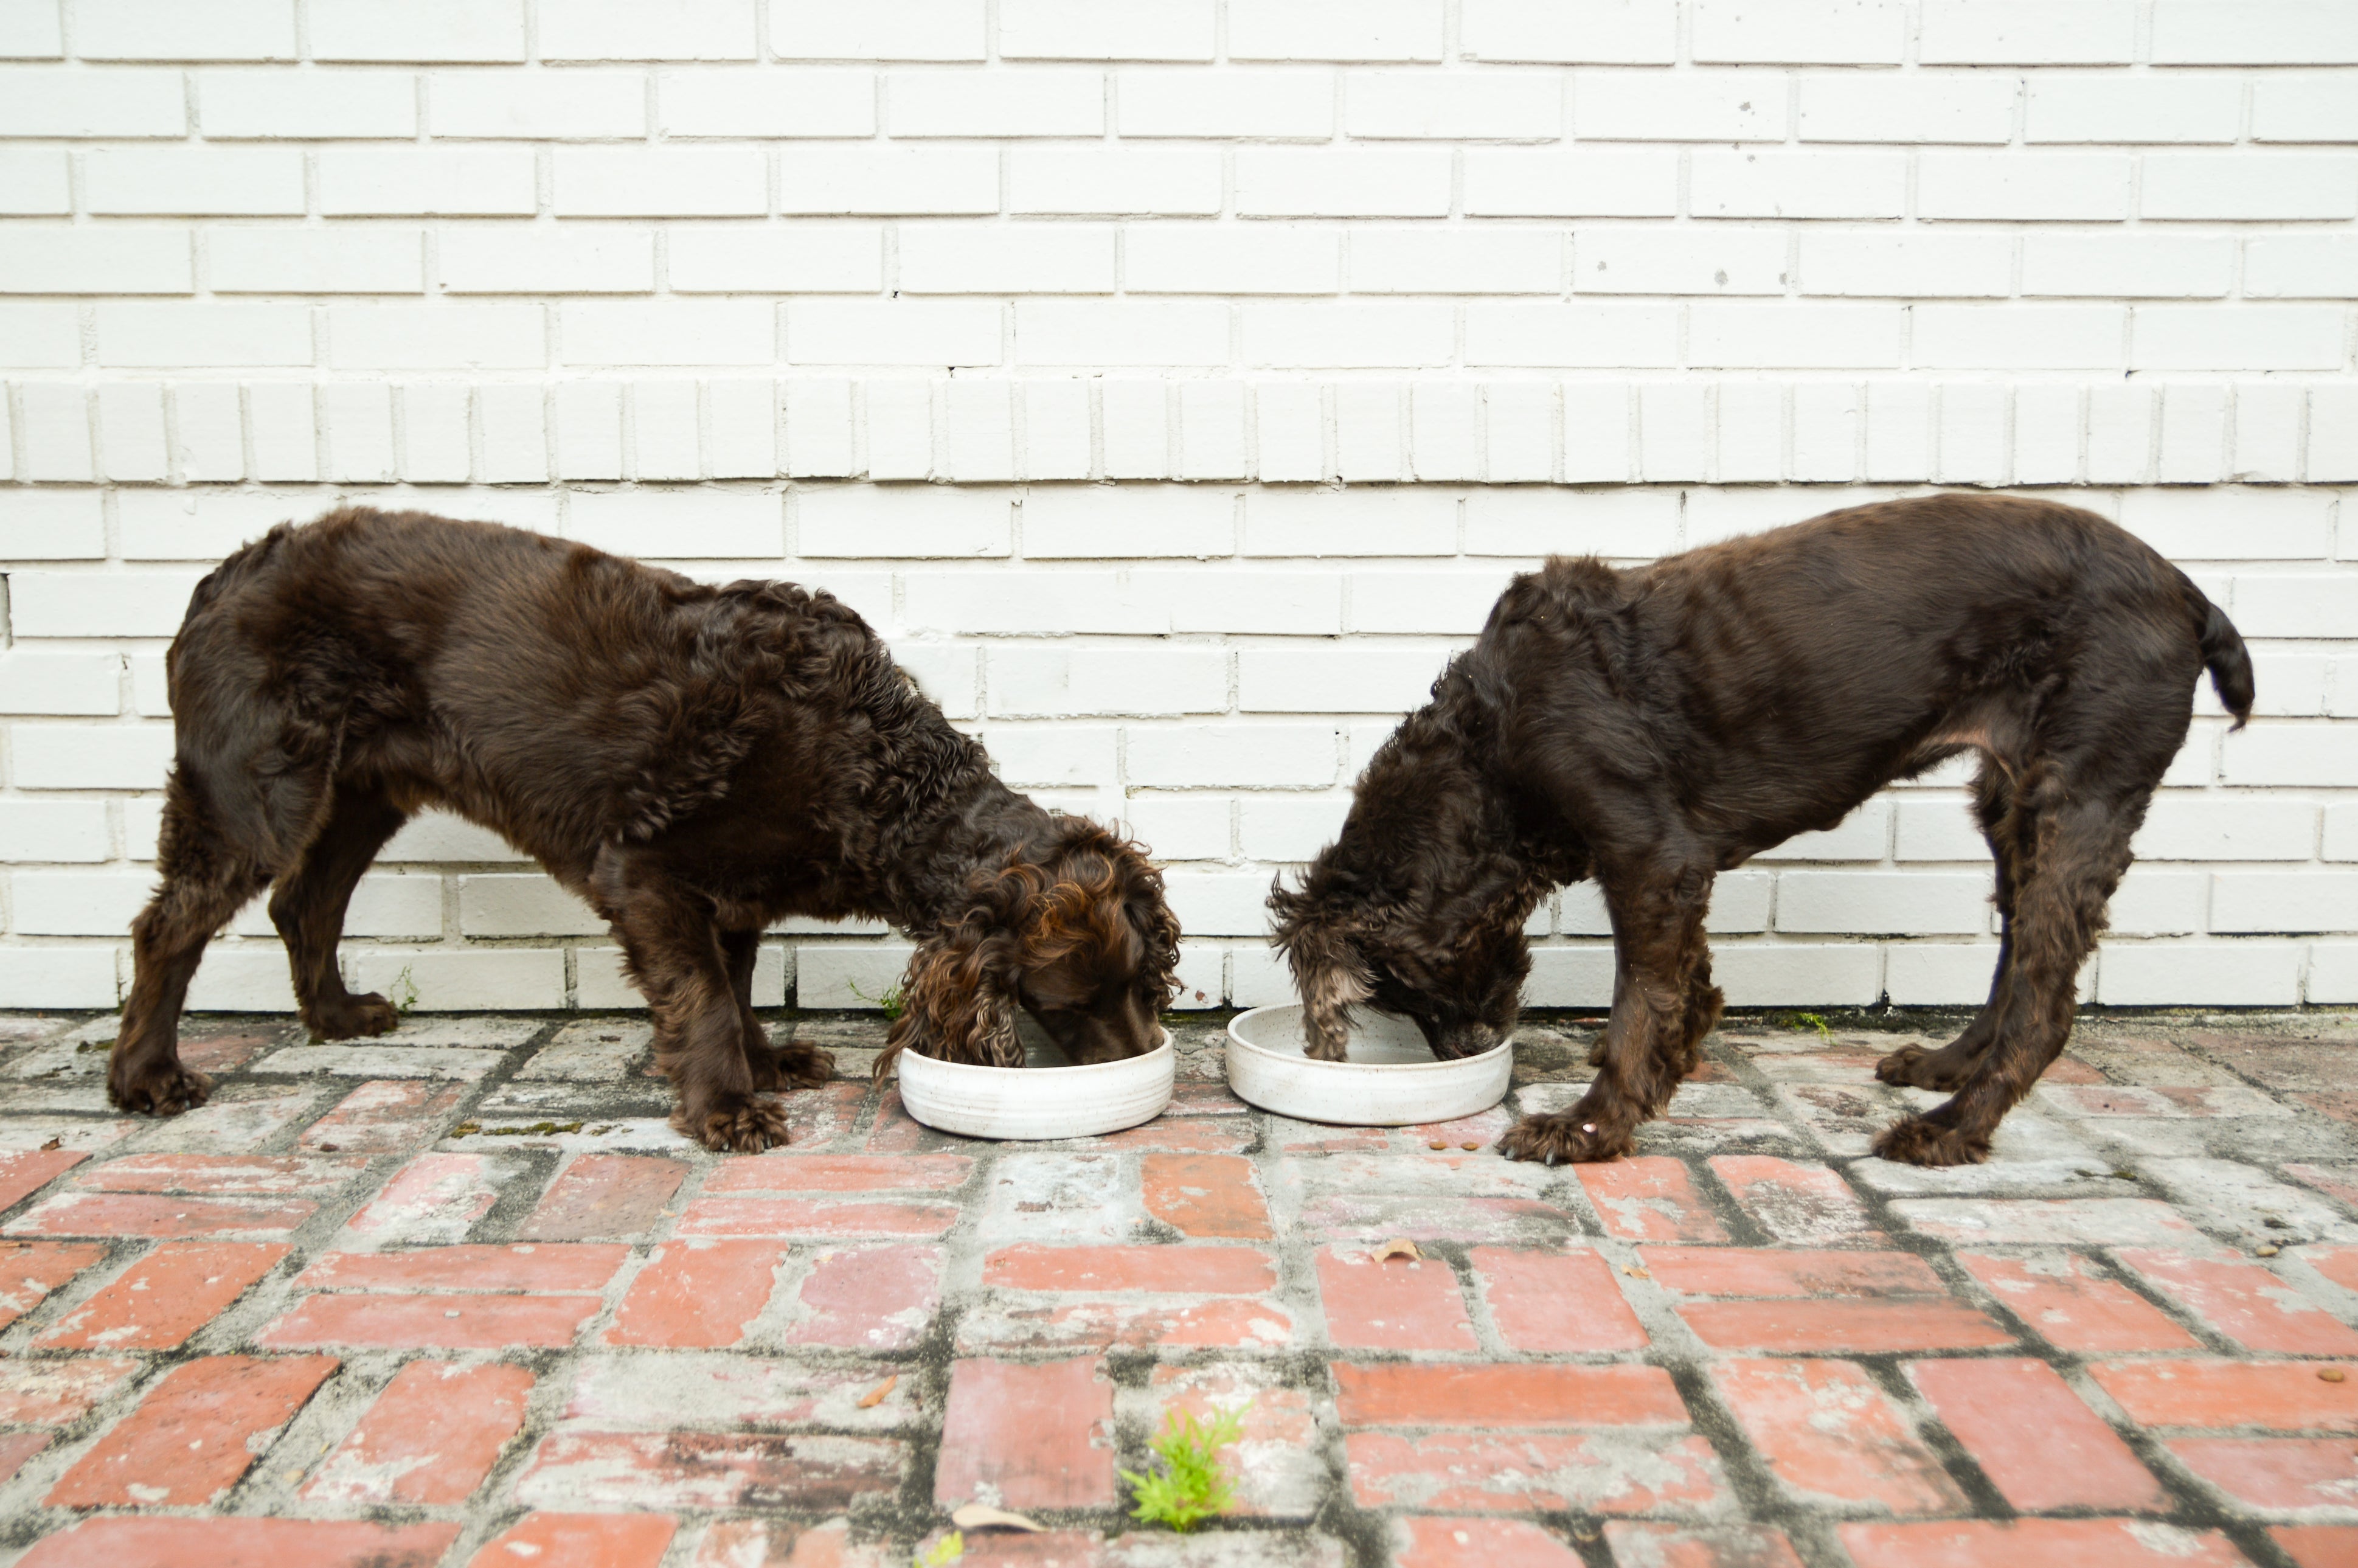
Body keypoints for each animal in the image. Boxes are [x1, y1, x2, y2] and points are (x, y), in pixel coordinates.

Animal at [111, 512, 1179, 1150]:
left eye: (1136, 982)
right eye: (1066, 1000)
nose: (1144, 1069)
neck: (873, 767)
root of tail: (222, 575)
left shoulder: (732, 894)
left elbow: (736, 986)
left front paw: (765, 1062)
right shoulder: (648, 872)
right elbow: (702, 997)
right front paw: (728, 1105)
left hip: (362, 788)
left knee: (307, 899)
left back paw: (334, 1016)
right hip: (258, 789)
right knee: (171, 926)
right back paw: (148, 1075)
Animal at [1264, 495, 2254, 1169]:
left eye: (1405, 983)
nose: (1469, 1056)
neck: (1489, 747)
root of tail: (2188, 593)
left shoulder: (1650, 854)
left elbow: (1639, 999)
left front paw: (1590, 1125)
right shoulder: (1676, 865)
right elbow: (1683, 984)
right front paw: (1675, 1055)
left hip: (2075, 797)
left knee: (2047, 1000)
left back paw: (1947, 1130)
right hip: (2009, 802)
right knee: (2017, 961)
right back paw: (1945, 1066)